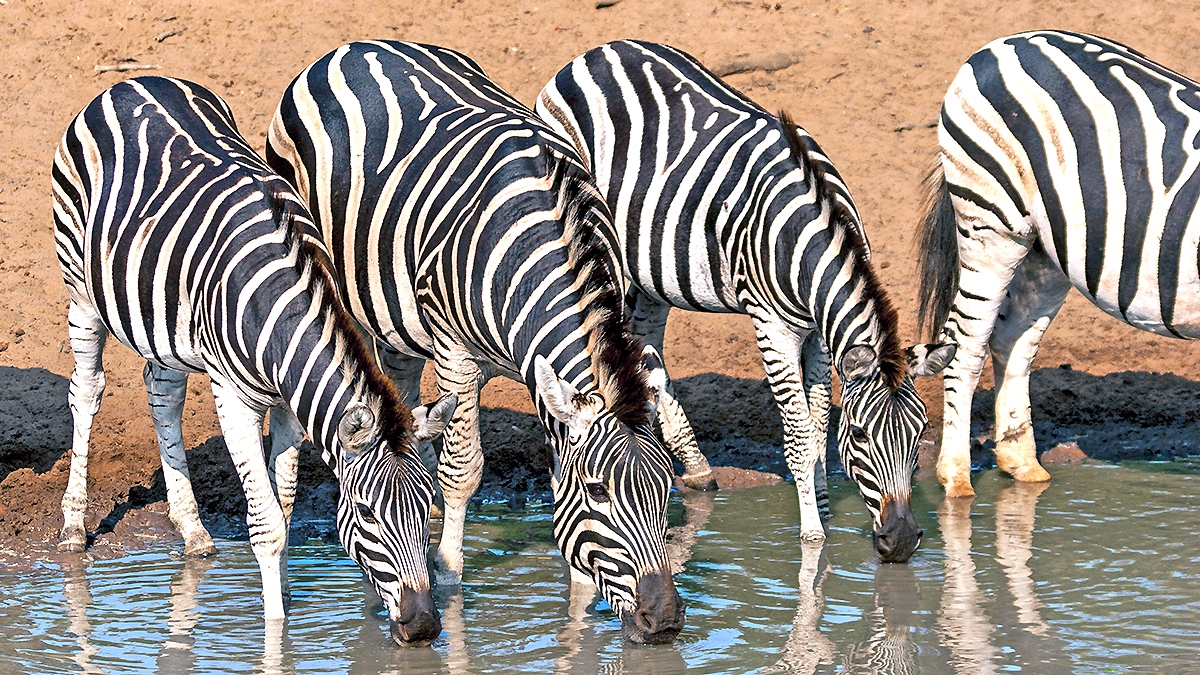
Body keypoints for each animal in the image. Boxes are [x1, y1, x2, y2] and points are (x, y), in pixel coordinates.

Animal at [52, 76, 457, 646]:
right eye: (366, 515)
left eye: (427, 507)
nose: (422, 628)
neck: (280, 306)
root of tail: (135, 81)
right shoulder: (232, 397)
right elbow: (266, 523)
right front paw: (275, 634)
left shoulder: (291, 402)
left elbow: (285, 507)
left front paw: (283, 594)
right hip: (80, 290)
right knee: (86, 392)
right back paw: (72, 527)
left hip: (163, 320)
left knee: (162, 395)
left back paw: (193, 530)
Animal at [266, 41, 684, 643]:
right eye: (600, 492)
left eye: (666, 489)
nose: (666, 621)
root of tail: (356, 46)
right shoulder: (456, 353)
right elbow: (462, 472)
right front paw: (446, 575)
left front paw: (579, 603)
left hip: (395, 320)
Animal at [536, 40, 957, 562]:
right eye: (860, 435)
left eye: (921, 434)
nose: (899, 542)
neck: (808, 237)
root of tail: (597, 50)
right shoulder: (772, 327)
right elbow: (799, 435)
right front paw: (812, 537)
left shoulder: (819, 335)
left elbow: (819, 424)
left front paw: (820, 502)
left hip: (652, 266)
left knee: (647, 337)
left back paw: (693, 463)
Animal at [916, 30, 1200, 497]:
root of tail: (1006, 42)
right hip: (990, 224)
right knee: (965, 344)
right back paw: (956, 481)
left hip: (1044, 248)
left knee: (1013, 339)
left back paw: (1022, 467)